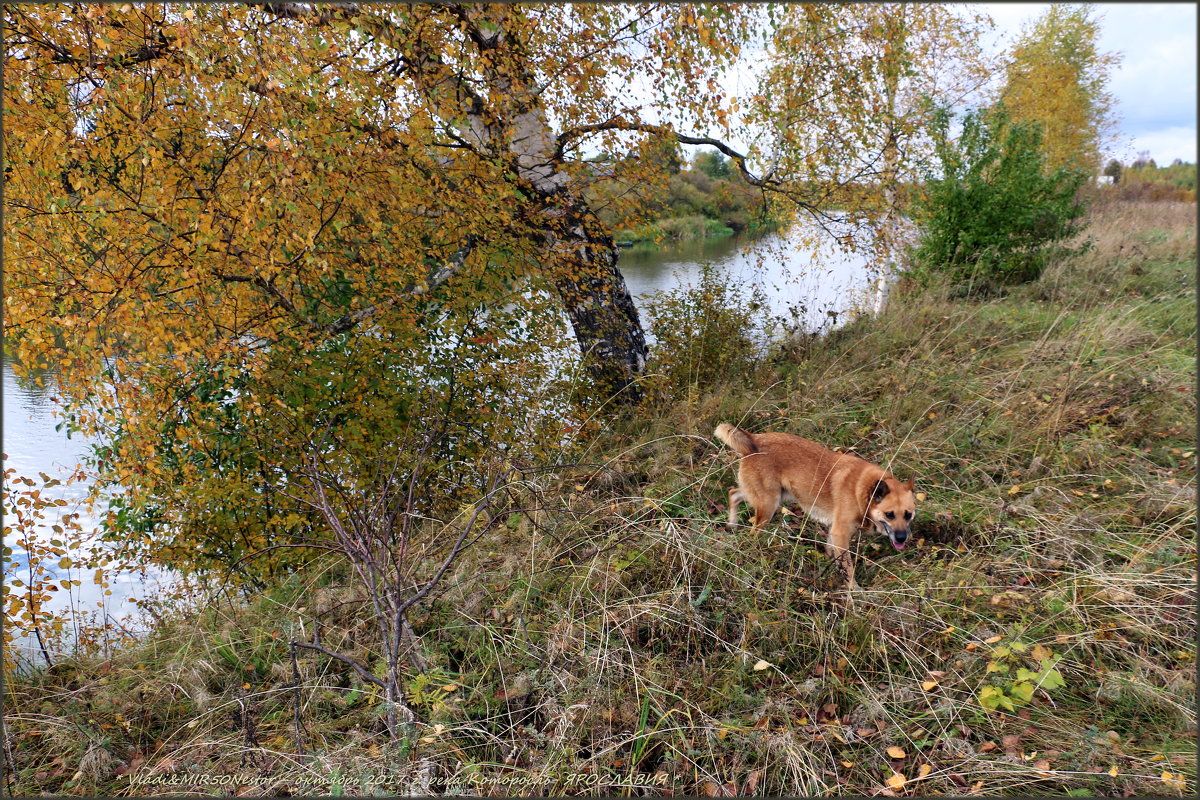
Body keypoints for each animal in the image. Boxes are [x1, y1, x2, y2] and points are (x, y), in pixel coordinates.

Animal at [710, 422, 916, 592]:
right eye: (889, 515)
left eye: (908, 515)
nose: (902, 538)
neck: (863, 491)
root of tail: (754, 438)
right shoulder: (841, 534)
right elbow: (848, 567)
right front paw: (854, 591)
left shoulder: (834, 532)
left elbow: (834, 556)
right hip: (768, 506)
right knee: (751, 530)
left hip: (769, 497)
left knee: (733, 493)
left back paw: (732, 523)